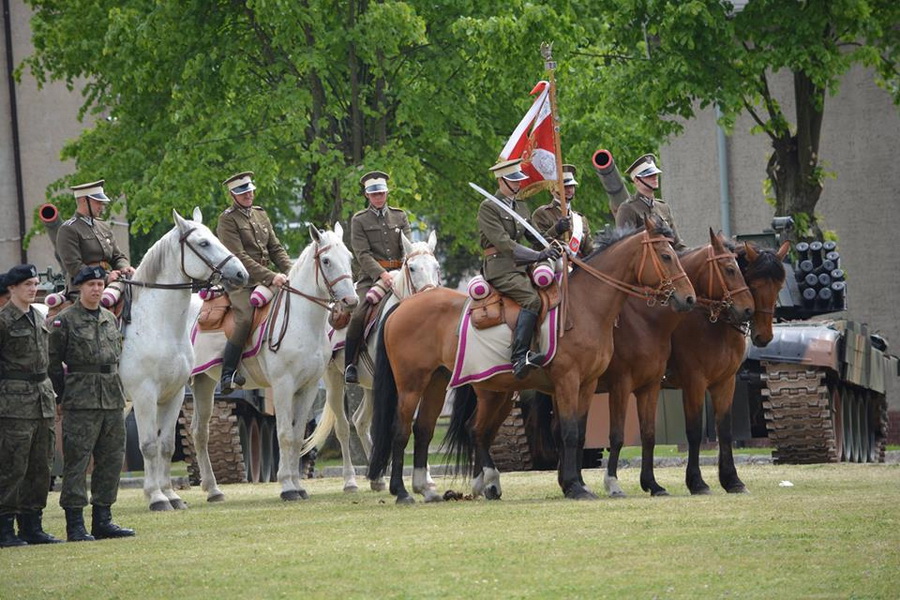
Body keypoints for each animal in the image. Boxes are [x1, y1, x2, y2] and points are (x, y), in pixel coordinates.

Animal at [121, 207, 250, 510]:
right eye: (203, 243)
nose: (241, 273)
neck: (158, 325)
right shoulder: (144, 395)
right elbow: (148, 444)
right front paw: (156, 497)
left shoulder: (174, 394)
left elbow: (166, 445)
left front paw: (170, 495)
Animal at [191, 224, 358, 502]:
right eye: (326, 260)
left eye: (349, 258)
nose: (350, 302)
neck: (303, 321)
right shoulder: (282, 385)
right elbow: (285, 434)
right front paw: (287, 486)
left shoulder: (308, 388)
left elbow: (298, 434)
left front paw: (298, 486)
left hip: (203, 383)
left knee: (199, 432)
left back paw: (212, 489)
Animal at [302, 230, 442, 492]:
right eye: (412, 268)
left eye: (436, 266)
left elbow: (418, 423)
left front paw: (425, 477)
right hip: (334, 380)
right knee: (344, 427)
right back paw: (351, 480)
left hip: (370, 386)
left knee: (360, 422)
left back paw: (376, 476)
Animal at [370, 220, 700, 502]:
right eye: (665, 255)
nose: (688, 298)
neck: (586, 305)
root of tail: (404, 305)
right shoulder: (577, 382)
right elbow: (571, 432)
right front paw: (578, 486)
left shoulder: (591, 384)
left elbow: (583, 433)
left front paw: (579, 483)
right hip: (412, 385)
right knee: (402, 430)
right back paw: (403, 491)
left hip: (451, 385)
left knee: (446, 429)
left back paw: (445, 487)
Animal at [600, 230, 756, 496]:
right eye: (729, 269)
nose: (748, 310)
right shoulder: (692, 383)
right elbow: (693, 432)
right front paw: (697, 482)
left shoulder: (725, 383)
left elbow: (724, 431)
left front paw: (732, 480)